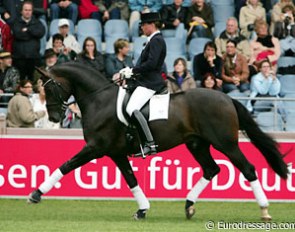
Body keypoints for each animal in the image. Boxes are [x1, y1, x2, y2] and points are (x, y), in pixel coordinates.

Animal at [28, 62, 290, 220]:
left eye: (49, 89)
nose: (54, 117)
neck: (98, 100)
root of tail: (226, 98)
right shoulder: (115, 153)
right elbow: (131, 180)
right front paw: (142, 210)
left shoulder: (95, 148)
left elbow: (66, 165)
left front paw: (36, 194)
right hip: (197, 144)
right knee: (211, 169)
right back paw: (188, 205)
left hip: (226, 144)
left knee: (248, 168)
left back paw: (264, 211)